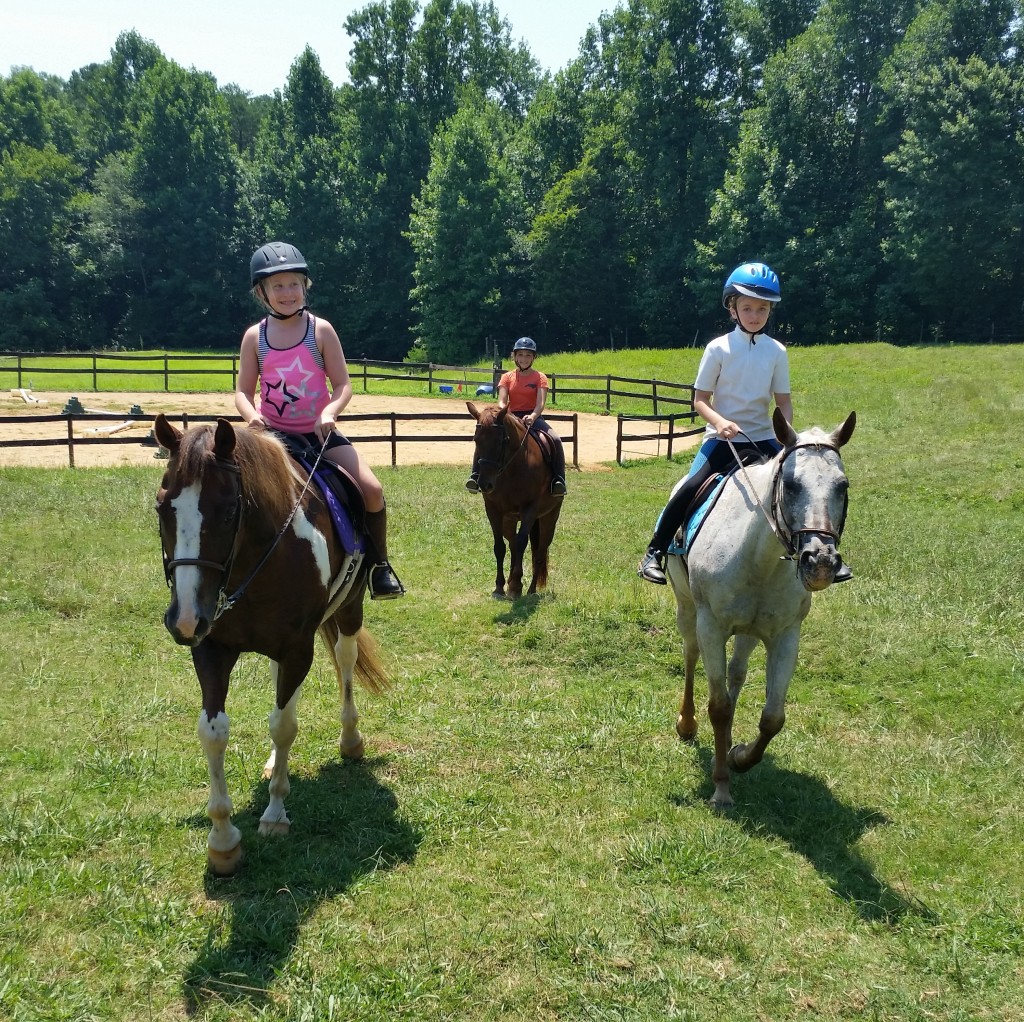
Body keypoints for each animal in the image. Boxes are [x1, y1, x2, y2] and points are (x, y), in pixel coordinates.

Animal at [152, 411, 387, 876]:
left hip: (349, 610)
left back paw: (350, 740)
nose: (184, 619)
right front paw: (223, 840)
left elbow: (283, 725)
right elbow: (214, 732)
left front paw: (275, 814)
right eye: (162, 506)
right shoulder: (211, 649)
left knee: (345, 660)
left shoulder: (297, 647)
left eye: (228, 511)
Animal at [468, 401, 565, 598]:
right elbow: (500, 547)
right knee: (512, 544)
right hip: (509, 520)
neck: (511, 468)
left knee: (539, 552)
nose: (485, 484)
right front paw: (499, 587)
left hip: (549, 518)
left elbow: (522, 543)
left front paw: (515, 586)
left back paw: (531, 589)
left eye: (501, 441)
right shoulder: (493, 509)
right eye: (476, 440)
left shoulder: (530, 508)